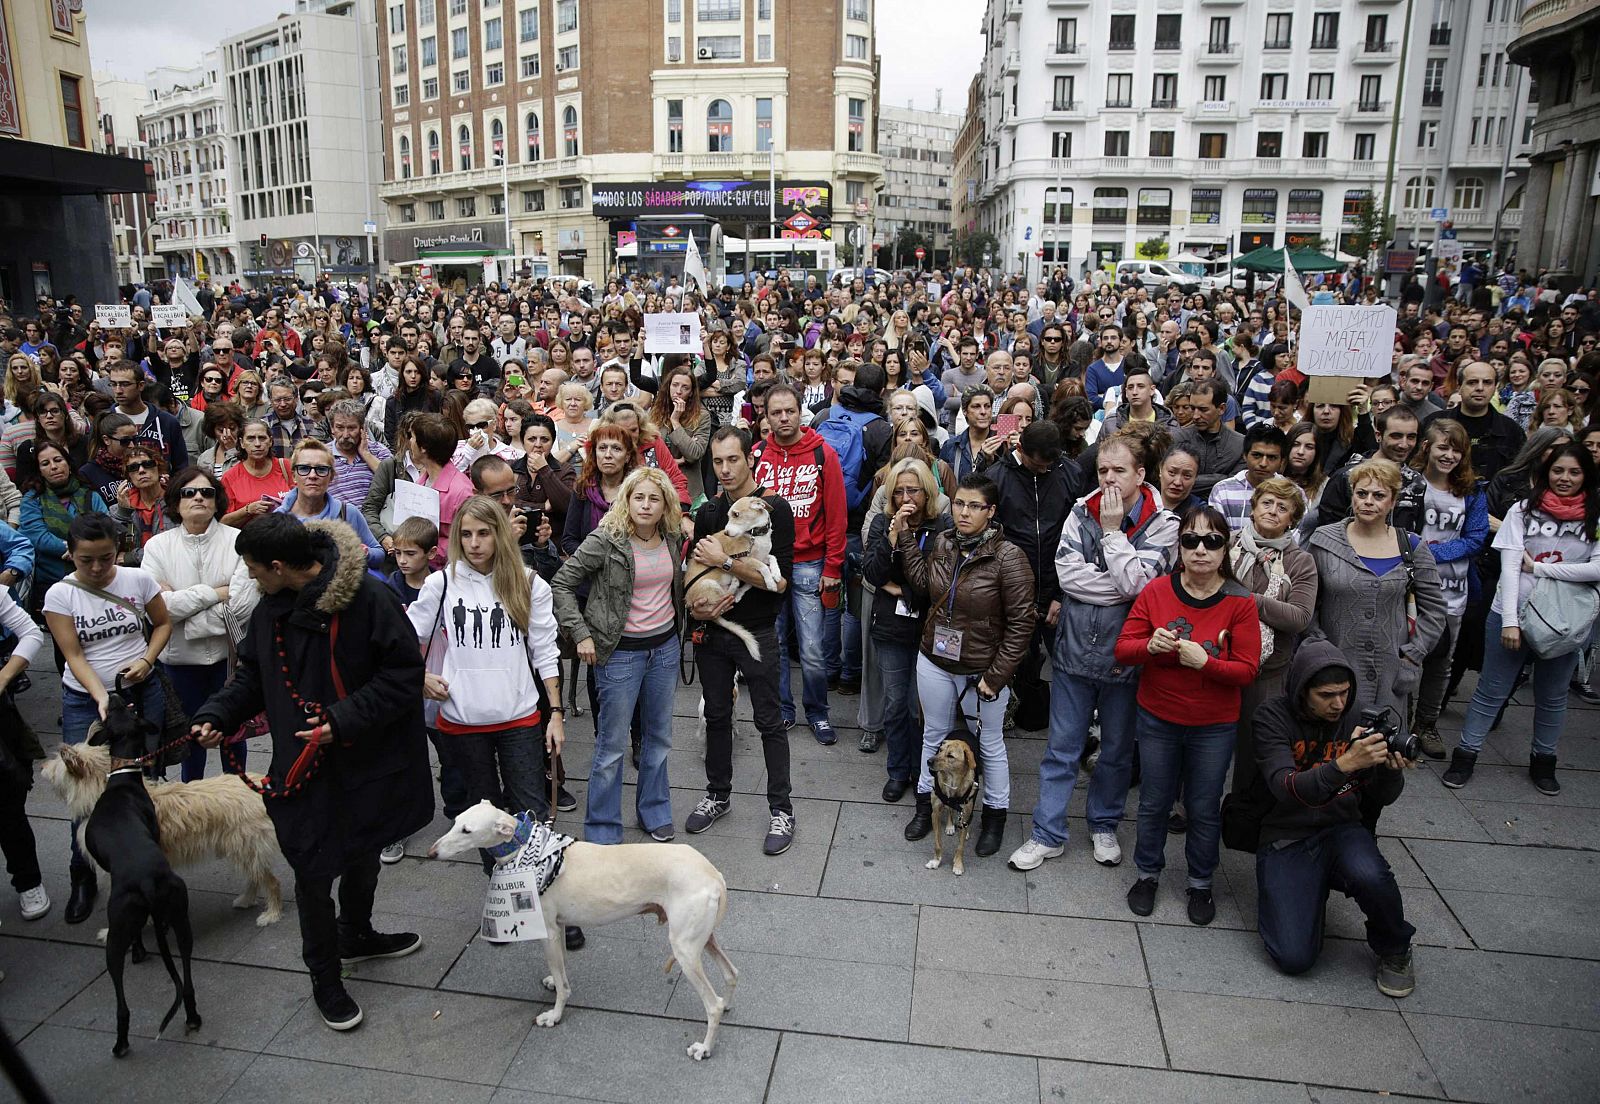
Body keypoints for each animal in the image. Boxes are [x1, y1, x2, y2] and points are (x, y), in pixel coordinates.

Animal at [84, 684, 200, 1056]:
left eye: (114, 711)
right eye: (124, 711)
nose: (113, 695)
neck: (123, 779)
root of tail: (147, 881)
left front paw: (139, 950)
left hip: (117, 929)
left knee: (121, 1000)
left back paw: (121, 1043)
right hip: (181, 913)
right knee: (187, 975)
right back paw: (192, 1016)